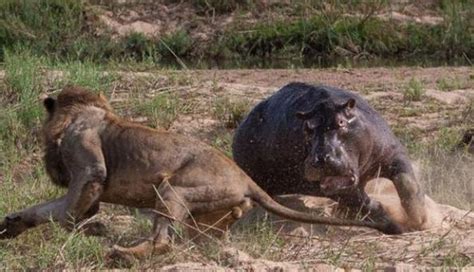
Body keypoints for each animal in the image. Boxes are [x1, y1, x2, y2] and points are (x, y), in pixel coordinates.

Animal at [231, 82, 428, 233]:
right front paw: (394, 223)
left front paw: (420, 220)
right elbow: (363, 202)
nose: (320, 159)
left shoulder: (393, 153)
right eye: (307, 128)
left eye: (341, 122)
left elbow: (407, 183)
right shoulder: (332, 189)